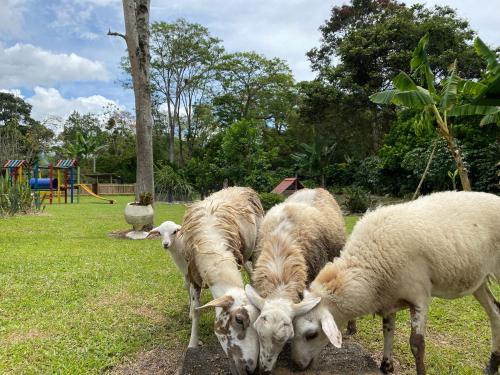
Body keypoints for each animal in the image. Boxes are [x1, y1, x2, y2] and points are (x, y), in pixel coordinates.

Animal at [292, 192, 500, 374]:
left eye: (311, 335)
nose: (297, 365)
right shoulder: (389, 298)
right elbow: (388, 329)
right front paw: (386, 365)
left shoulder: (419, 296)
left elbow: (417, 344)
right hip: (478, 280)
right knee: (495, 312)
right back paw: (492, 366)